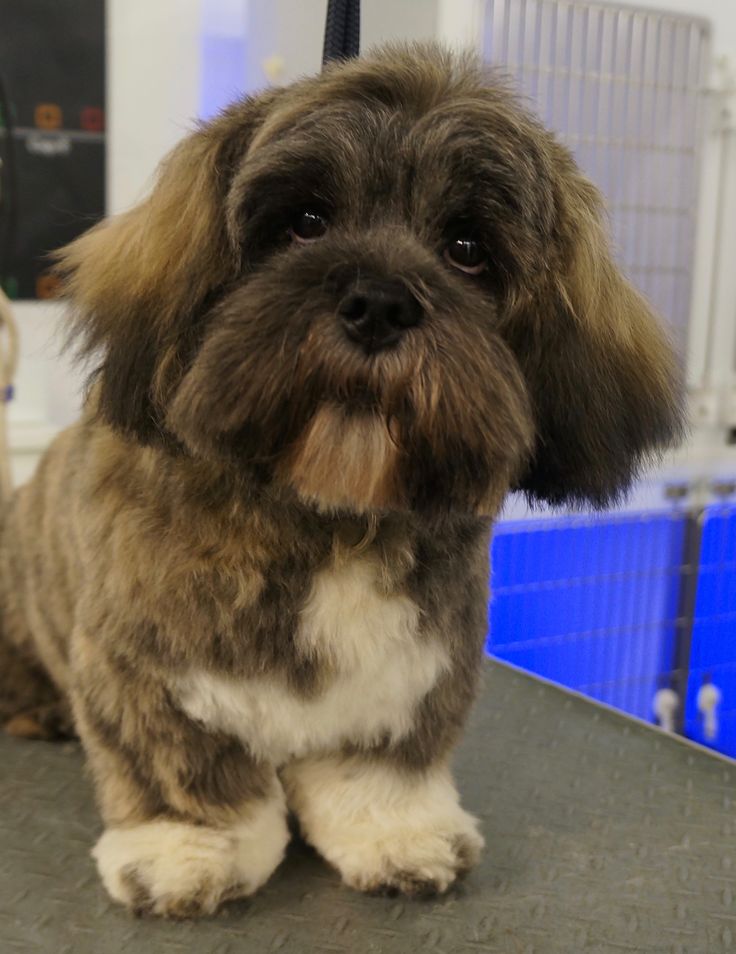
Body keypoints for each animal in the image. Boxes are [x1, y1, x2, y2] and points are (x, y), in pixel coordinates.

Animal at [0, 46, 684, 916]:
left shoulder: (415, 671)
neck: (333, 518)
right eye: (305, 222)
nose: (380, 302)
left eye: (467, 247)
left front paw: (396, 833)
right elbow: (185, 768)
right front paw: (188, 849)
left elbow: (380, 770)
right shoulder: (143, 668)